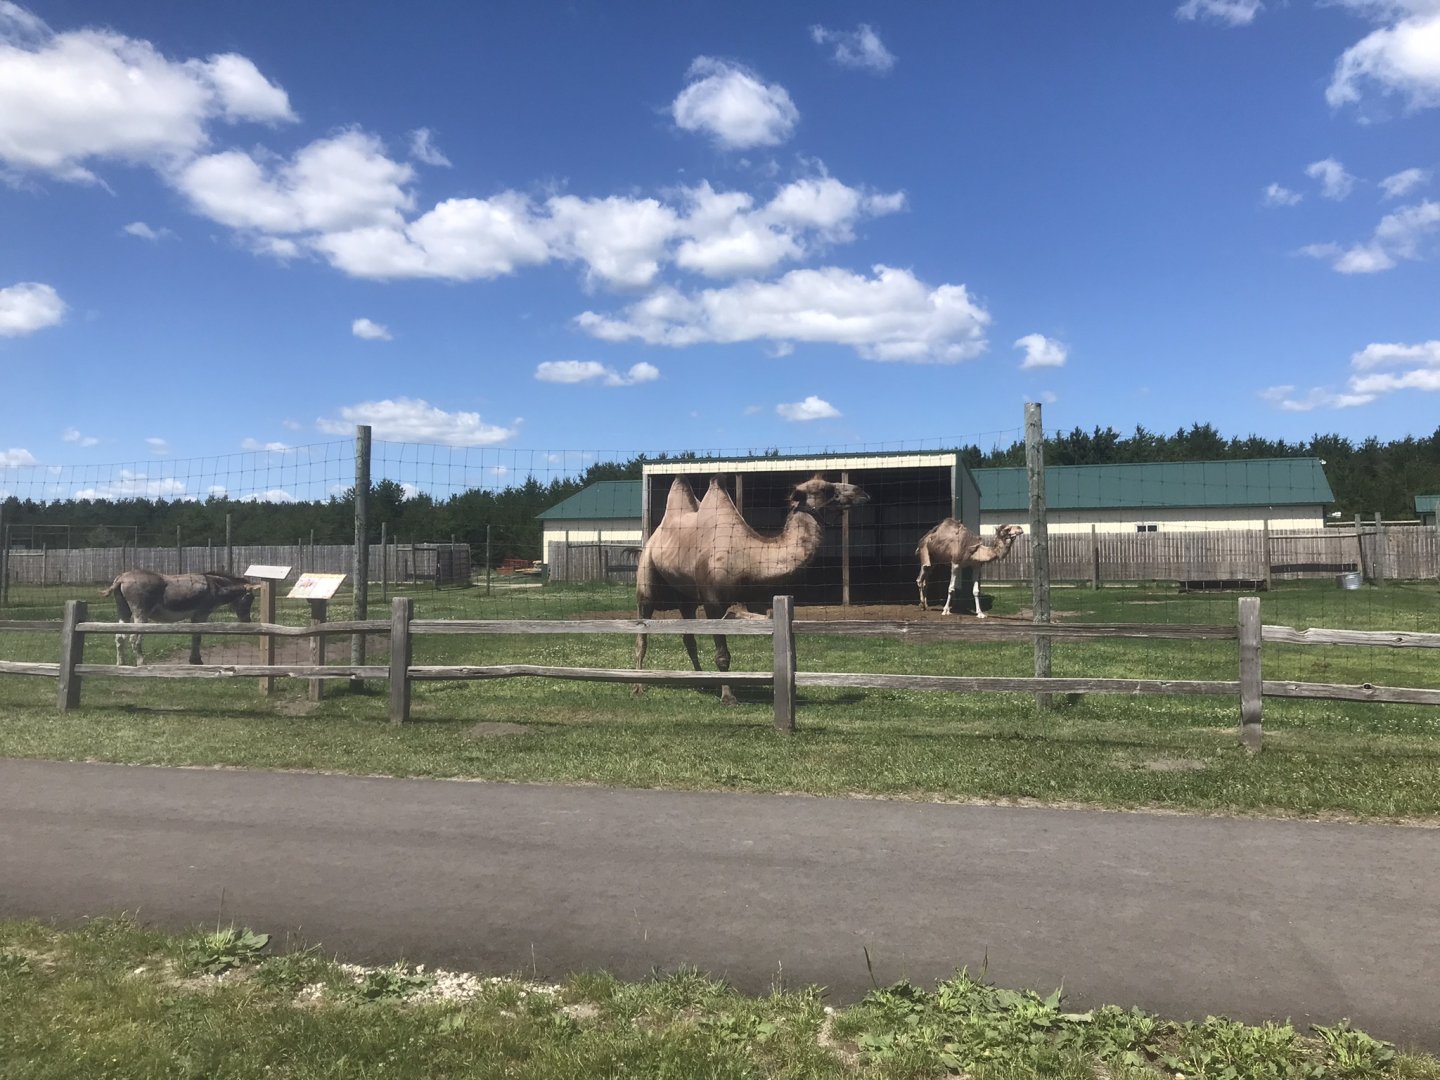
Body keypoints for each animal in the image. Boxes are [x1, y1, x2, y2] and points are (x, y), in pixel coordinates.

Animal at [635, 473, 870, 704]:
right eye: (825, 489)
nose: (862, 492)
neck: (749, 557)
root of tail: (654, 536)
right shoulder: (712, 601)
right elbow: (722, 655)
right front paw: (728, 696)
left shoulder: (755, 598)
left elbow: (766, 616)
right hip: (647, 580)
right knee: (642, 633)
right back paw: (639, 686)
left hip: (686, 598)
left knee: (689, 637)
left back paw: (702, 681)